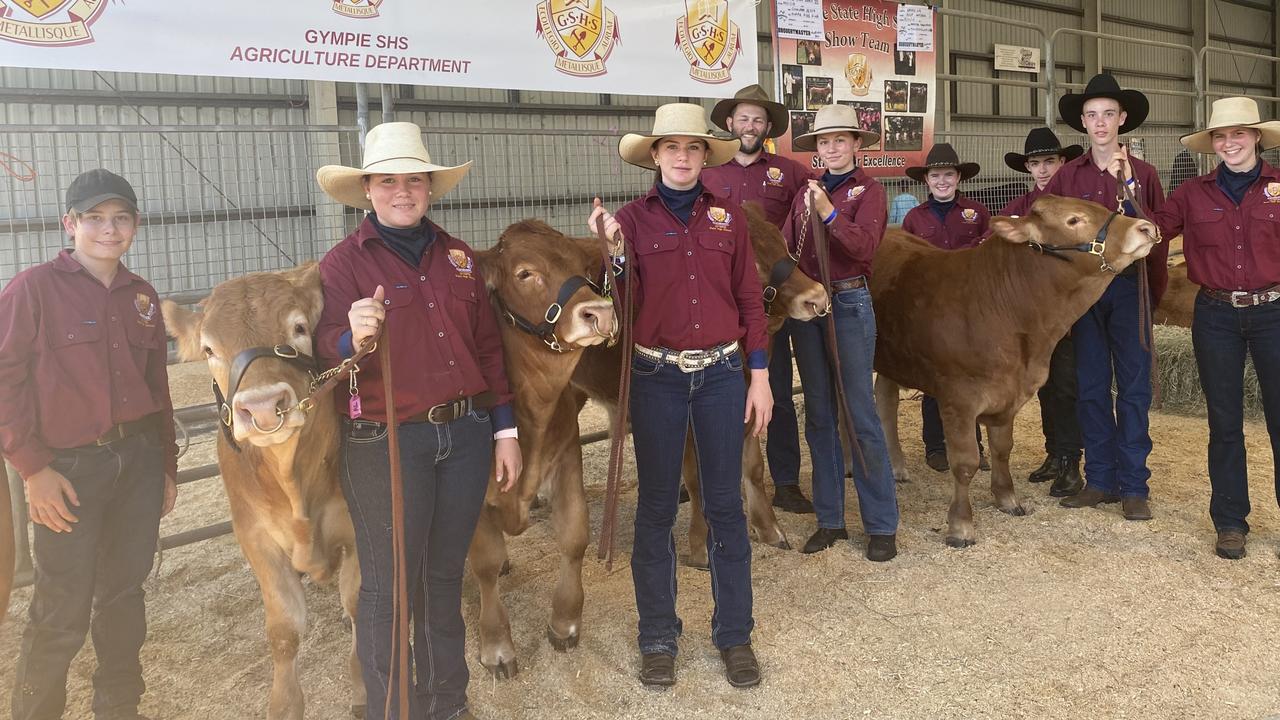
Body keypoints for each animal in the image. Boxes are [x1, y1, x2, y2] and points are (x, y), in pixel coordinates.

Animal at [162, 265, 366, 717]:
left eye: (300, 328)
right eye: (209, 349)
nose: (260, 406)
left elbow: (359, 602)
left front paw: (364, 686)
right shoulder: (255, 537)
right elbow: (284, 629)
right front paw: (284, 704)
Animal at [870, 196, 1162, 543]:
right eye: (1073, 220)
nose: (1145, 226)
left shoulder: (1010, 394)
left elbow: (1002, 449)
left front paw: (1007, 499)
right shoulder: (958, 399)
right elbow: (965, 463)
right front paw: (961, 525)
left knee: (885, 402)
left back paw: (896, 467)